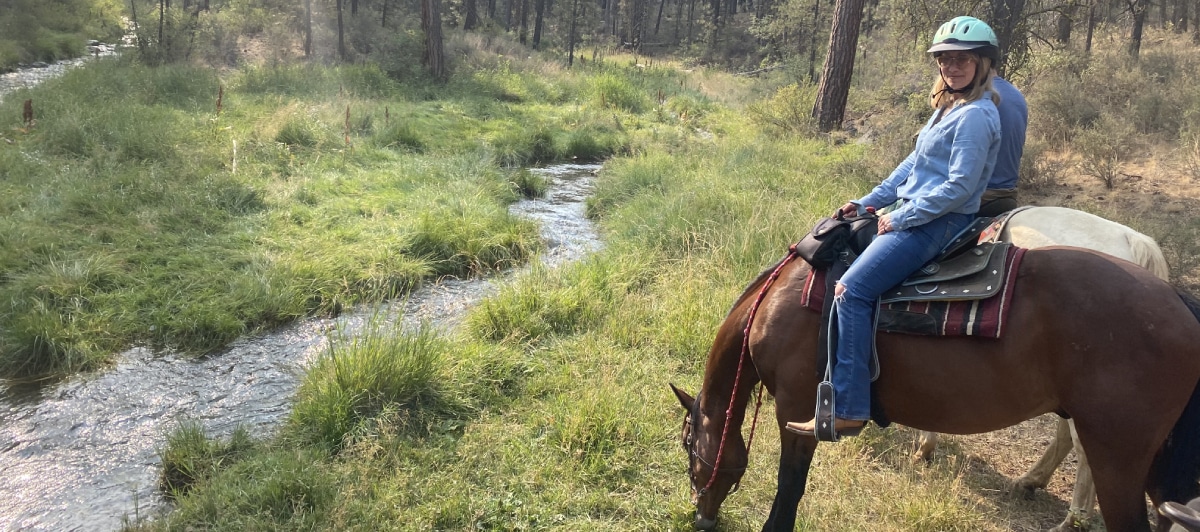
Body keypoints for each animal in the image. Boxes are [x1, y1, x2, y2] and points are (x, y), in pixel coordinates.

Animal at [672, 246, 1200, 532]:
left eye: (687, 445)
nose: (701, 516)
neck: (777, 306)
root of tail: (1178, 300)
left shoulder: (797, 409)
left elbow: (789, 490)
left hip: (1118, 459)